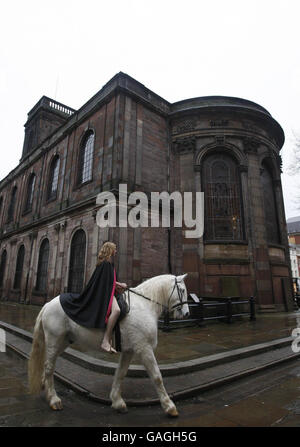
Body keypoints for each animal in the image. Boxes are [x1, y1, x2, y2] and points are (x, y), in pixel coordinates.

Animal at [27, 274, 189, 418]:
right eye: (182, 290)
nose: (187, 313)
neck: (145, 305)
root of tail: (48, 304)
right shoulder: (144, 348)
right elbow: (157, 376)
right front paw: (169, 407)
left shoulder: (129, 350)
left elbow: (120, 373)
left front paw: (117, 402)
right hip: (54, 340)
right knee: (49, 366)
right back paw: (54, 399)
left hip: (63, 341)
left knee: (49, 364)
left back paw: (45, 387)